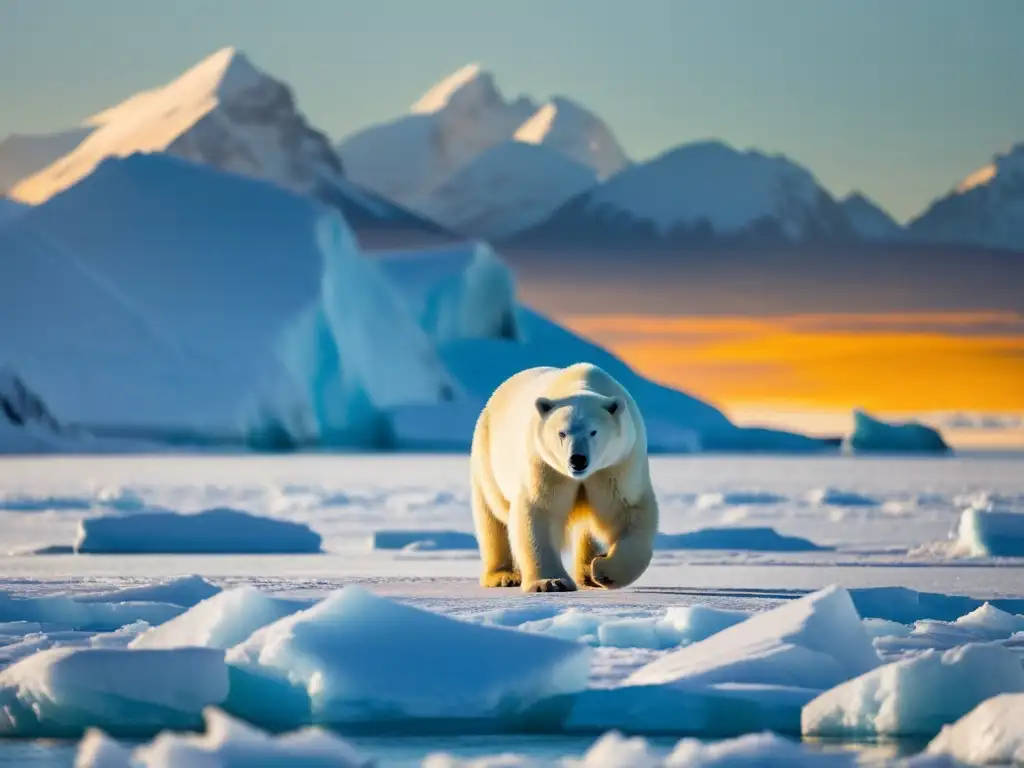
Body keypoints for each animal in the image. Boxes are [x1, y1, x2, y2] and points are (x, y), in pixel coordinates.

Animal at [468, 362, 659, 593]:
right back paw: (503, 576)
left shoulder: (617, 465)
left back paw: (587, 574)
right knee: (492, 515)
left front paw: (603, 569)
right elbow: (541, 509)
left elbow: (627, 512)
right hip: (487, 456)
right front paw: (551, 582)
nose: (577, 459)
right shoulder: (546, 465)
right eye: (562, 433)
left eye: (593, 432)